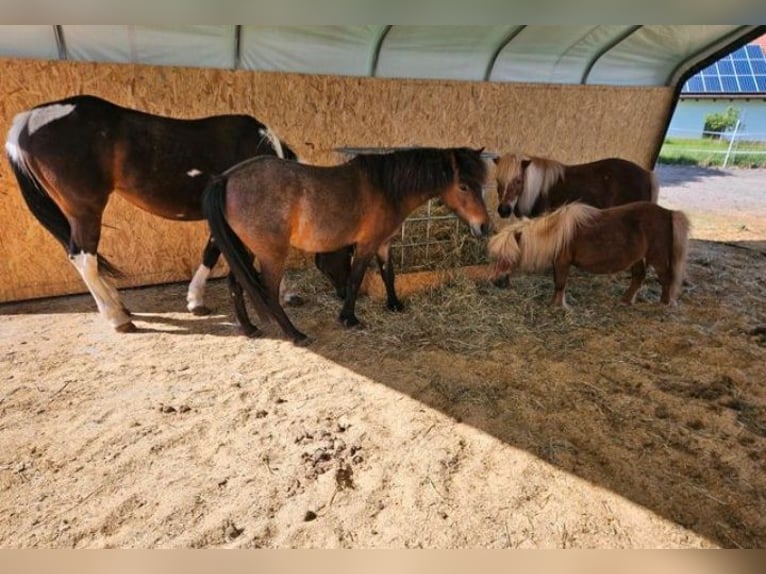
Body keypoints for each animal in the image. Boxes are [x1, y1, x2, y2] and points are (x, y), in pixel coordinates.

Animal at [4, 94, 350, 332]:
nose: (347, 295)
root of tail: (27, 119)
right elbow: (218, 253)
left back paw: (118, 304)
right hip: (85, 210)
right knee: (83, 259)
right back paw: (116, 318)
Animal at [203, 146, 491, 344]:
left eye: (481, 185)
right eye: (463, 186)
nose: (485, 226)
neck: (386, 188)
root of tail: (226, 178)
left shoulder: (383, 243)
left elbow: (388, 274)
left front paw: (394, 305)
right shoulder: (366, 245)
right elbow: (355, 278)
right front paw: (348, 318)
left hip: (245, 251)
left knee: (235, 285)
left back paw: (249, 328)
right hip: (271, 254)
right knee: (269, 292)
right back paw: (295, 334)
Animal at [487, 201, 690, 308]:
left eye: (508, 256)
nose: (497, 281)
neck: (556, 233)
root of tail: (668, 213)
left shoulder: (562, 262)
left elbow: (559, 283)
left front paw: (557, 306)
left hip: (657, 257)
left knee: (666, 278)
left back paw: (664, 303)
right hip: (638, 258)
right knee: (638, 277)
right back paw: (625, 300)